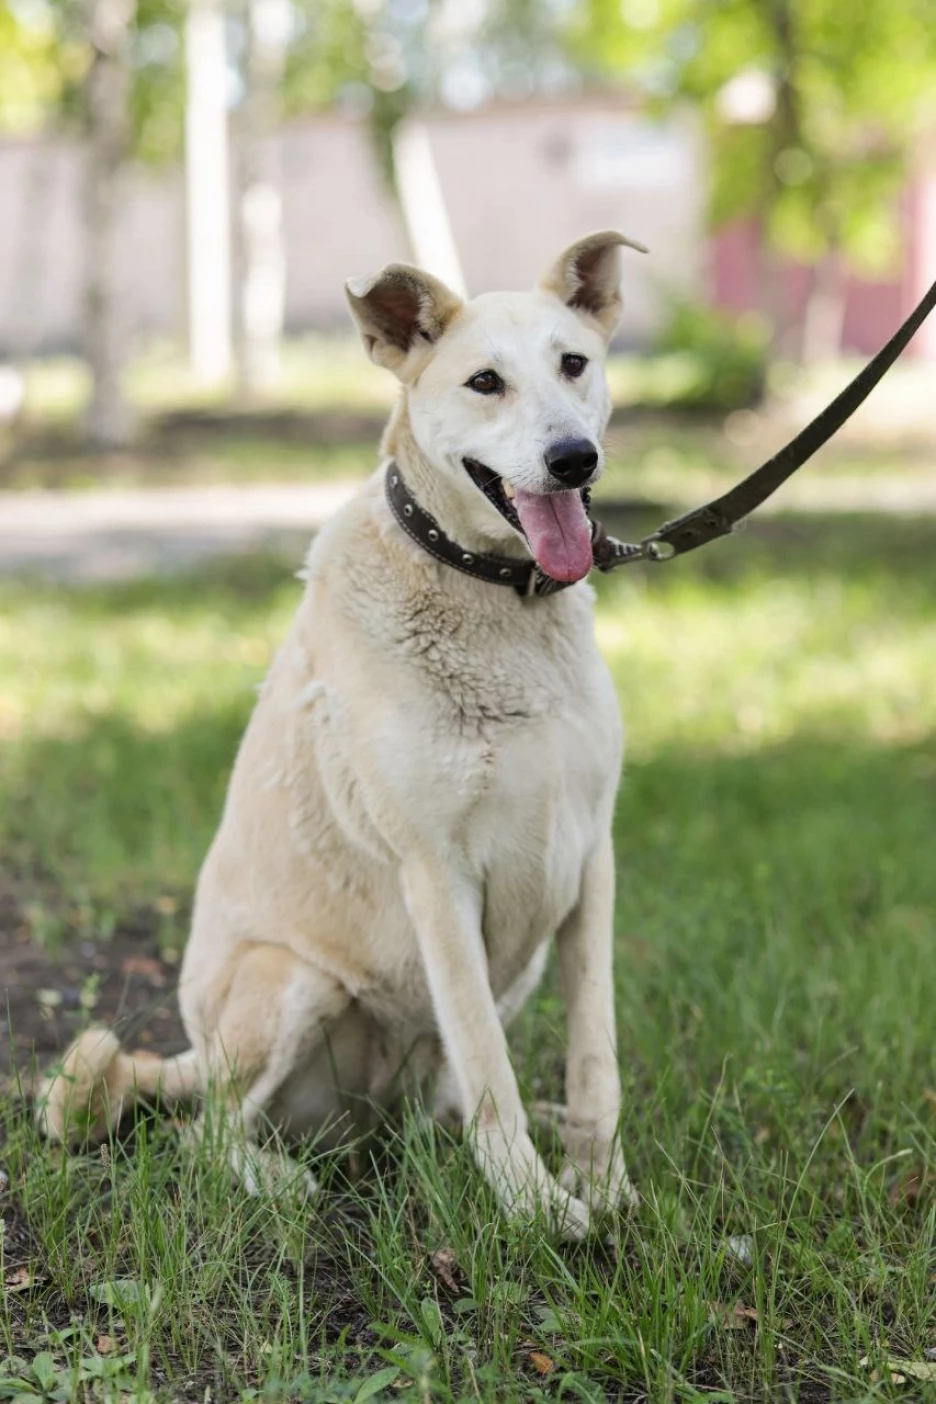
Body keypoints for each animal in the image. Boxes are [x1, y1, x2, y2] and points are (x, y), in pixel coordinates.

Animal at [40, 233, 648, 1241]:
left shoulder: (590, 861)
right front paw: (532, 1209)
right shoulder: (438, 877)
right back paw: (280, 1179)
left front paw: (603, 1187)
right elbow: (489, 1065)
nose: (574, 458)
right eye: (486, 382)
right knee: (203, 1136)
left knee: (439, 1103)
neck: (502, 606)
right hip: (296, 983)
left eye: (574, 364)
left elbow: (596, 1057)